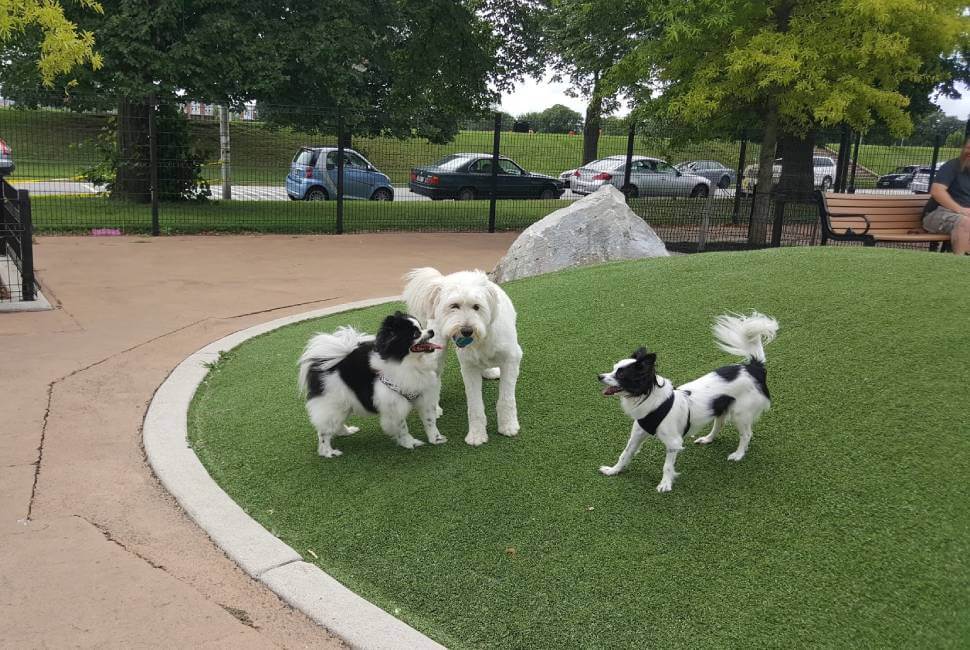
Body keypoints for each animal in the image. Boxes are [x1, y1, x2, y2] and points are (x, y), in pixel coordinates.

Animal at [296, 310, 444, 456]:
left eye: (421, 327)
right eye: (415, 334)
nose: (431, 331)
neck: (410, 364)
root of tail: (322, 364)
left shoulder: (425, 397)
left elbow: (430, 422)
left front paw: (436, 439)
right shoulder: (394, 407)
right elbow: (402, 428)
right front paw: (409, 443)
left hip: (344, 405)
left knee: (335, 424)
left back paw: (346, 432)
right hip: (333, 405)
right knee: (323, 432)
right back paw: (328, 452)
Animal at [400, 268, 520, 446]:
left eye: (477, 307)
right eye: (454, 306)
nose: (466, 331)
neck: (481, 335)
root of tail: (445, 278)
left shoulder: (511, 359)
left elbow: (506, 399)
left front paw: (508, 426)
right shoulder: (469, 368)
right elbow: (475, 406)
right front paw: (476, 435)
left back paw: (489, 371)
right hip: (436, 351)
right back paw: (433, 407)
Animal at [596, 314, 780, 492]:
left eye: (621, 374)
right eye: (613, 369)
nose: (599, 376)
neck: (651, 401)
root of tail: (754, 368)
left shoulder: (673, 443)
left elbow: (667, 466)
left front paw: (665, 484)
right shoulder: (637, 435)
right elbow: (625, 454)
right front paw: (613, 471)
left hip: (740, 414)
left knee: (746, 434)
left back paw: (738, 454)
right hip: (722, 407)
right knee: (719, 424)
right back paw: (707, 439)